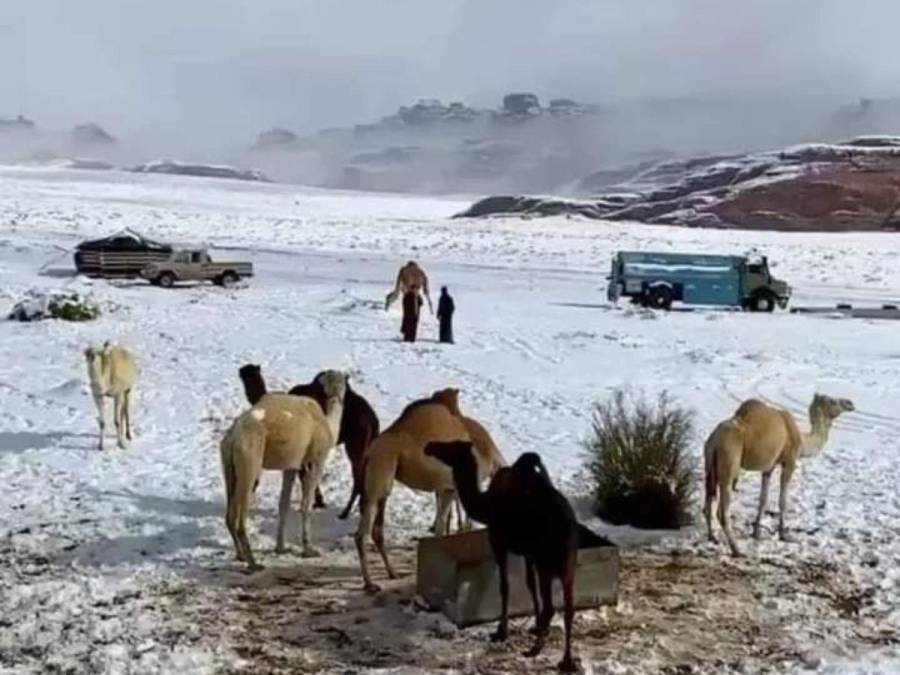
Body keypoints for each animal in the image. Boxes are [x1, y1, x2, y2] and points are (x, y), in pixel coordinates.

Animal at [220, 372, 346, 568]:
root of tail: (233, 436)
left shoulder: (291, 466)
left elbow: (283, 504)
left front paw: (281, 548)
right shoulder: (315, 460)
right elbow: (306, 504)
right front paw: (309, 550)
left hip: (228, 465)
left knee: (229, 511)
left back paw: (241, 556)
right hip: (250, 459)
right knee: (240, 513)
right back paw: (253, 563)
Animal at [237, 364, 378, 516]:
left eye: (247, 373)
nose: (241, 370)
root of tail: (373, 420)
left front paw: (317, 502)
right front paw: (318, 502)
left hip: (355, 446)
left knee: (358, 477)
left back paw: (346, 512)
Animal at [426, 444, 580, 672]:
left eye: (451, 446)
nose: (429, 446)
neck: (485, 505)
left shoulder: (499, 542)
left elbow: (505, 586)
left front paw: (501, 631)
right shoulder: (527, 552)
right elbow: (529, 584)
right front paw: (535, 626)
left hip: (547, 563)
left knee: (552, 607)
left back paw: (535, 650)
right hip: (568, 565)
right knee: (569, 608)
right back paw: (566, 660)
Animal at [700, 394, 856, 556]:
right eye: (833, 401)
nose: (850, 403)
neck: (802, 440)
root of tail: (715, 440)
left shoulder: (769, 467)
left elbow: (763, 499)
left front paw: (756, 533)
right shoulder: (790, 461)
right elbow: (783, 500)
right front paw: (784, 534)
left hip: (709, 463)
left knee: (709, 498)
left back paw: (712, 537)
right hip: (729, 460)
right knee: (722, 509)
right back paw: (736, 550)